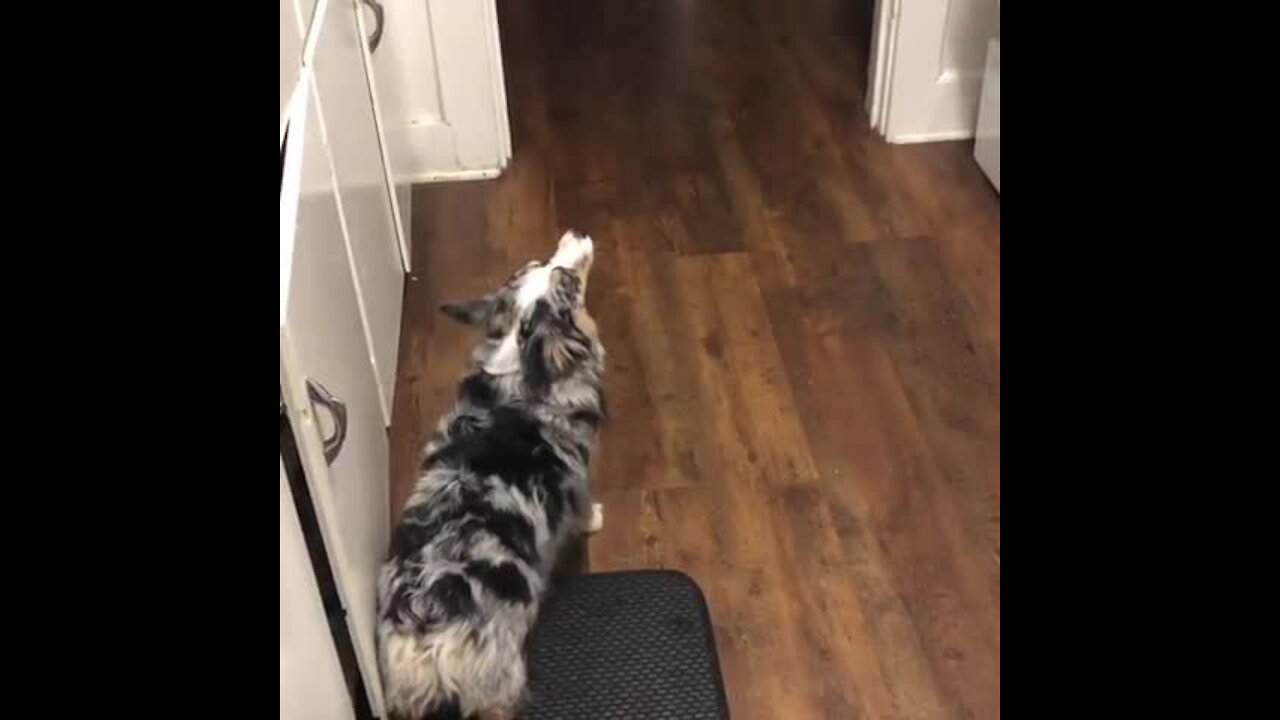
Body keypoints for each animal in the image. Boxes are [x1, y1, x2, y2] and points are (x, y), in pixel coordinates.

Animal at [373, 229, 604, 717]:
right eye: (568, 281)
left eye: (538, 263)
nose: (574, 234)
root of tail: (428, 636)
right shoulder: (577, 474)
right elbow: (581, 509)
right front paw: (595, 519)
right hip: (499, 677)